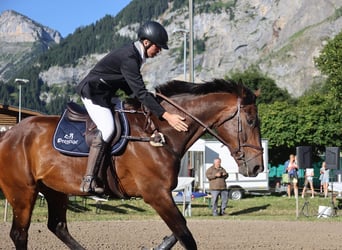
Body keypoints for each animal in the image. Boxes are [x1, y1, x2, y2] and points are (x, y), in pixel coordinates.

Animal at [0, 79, 264, 249]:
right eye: (251, 121)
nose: (257, 168)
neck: (162, 131)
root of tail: (8, 134)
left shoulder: (162, 195)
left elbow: (178, 231)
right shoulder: (156, 194)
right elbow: (185, 234)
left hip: (54, 190)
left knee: (58, 226)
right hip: (23, 192)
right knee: (20, 234)